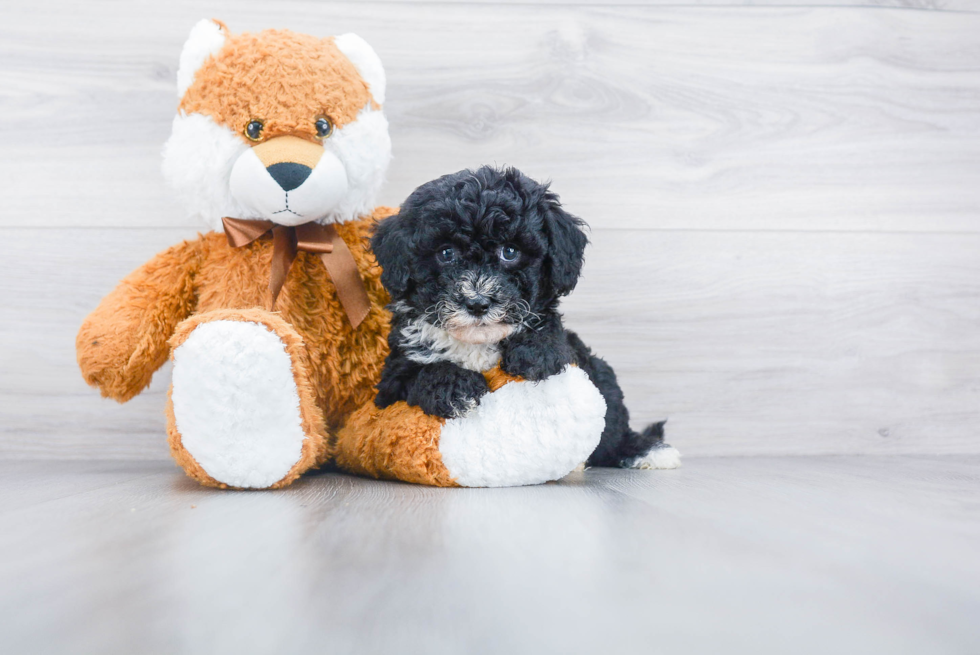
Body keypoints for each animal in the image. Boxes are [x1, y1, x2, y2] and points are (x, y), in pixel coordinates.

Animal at [372, 167, 676, 468]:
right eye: (446, 253)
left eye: (510, 251)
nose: (477, 303)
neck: (478, 343)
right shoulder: (390, 380)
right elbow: (420, 371)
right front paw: (455, 387)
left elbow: (548, 329)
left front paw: (535, 353)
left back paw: (645, 450)